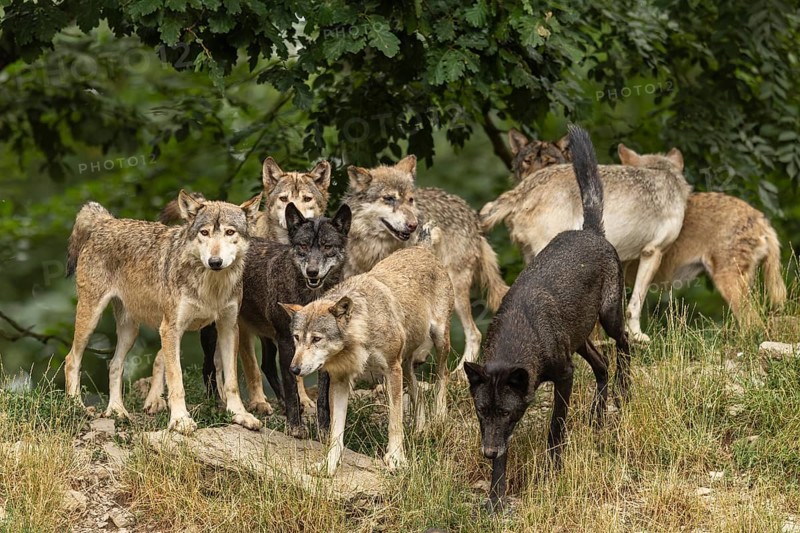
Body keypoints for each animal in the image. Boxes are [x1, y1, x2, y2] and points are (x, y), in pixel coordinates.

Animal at [64, 191, 263, 434]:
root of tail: (107, 221)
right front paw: (180, 420)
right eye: (204, 232)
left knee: (114, 365)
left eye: (230, 232)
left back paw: (117, 411)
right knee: (72, 359)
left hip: (130, 331)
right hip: (91, 318)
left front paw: (240, 415)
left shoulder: (228, 328)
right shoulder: (170, 329)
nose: (215, 261)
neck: (211, 286)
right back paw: (77, 407)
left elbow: (232, 381)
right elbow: (176, 380)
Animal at [283, 239, 454, 476]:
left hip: (438, 341)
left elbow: (395, 421)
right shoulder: (340, 381)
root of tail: (421, 247)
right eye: (297, 338)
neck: (361, 333)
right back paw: (420, 430)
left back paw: (439, 419)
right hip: (406, 362)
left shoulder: (391, 370)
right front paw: (329, 465)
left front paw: (396, 459)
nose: (294, 369)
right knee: (418, 391)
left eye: (316, 339)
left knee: (442, 375)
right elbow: (336, 433)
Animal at [343, 155, 508, 373]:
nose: (414, 225)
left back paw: (458, 373)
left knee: (473, 333)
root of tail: (473, 216)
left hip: (454, 289)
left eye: (410, 200)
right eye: (389, 198)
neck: (377, 248)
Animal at [465, 125, 631, 511]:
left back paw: (625, 392)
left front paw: (554, 469)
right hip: (580, 340)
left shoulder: (565, 375)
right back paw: (597, 418)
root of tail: (589, 231)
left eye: (506, 413)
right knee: (601, 365)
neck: (519, 337)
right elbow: (503, 458)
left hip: (609, 318)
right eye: (482, 411)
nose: (486, 451)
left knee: (624, 344)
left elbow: (556, 428)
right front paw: (495, 498)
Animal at [481, 132, 692, 342]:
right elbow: (635, 303)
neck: (663, 173)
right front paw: (637, 335)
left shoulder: (620, 262)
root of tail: (524, 188)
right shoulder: (653, 252)